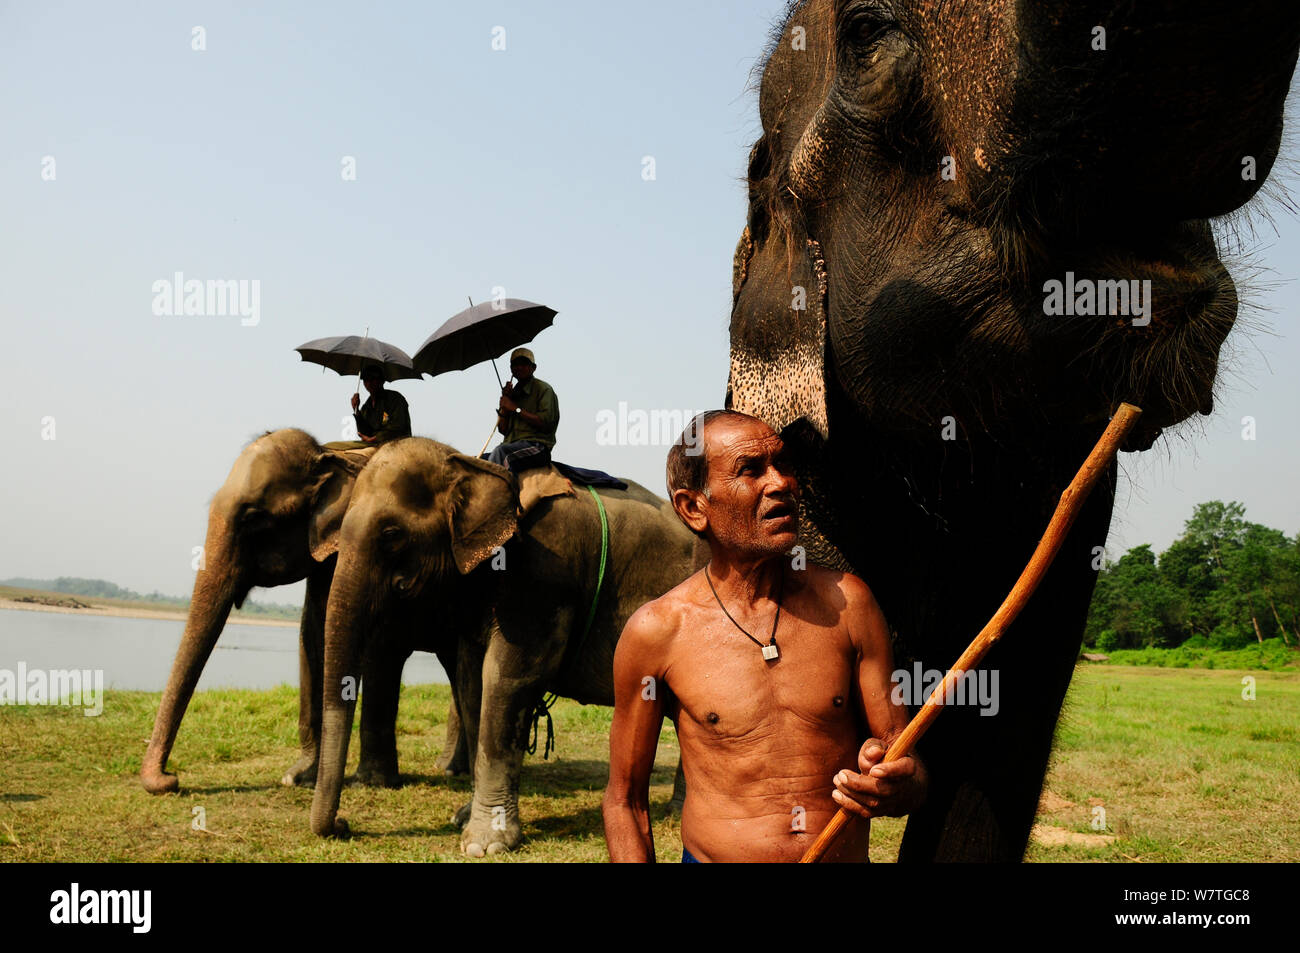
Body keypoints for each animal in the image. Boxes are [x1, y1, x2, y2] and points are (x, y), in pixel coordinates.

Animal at [141, 429, 467, 795]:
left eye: (254, 518)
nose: (170, 779)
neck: (329, 456)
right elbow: (313, 632)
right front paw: (298, 778)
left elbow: (374, 642)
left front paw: (368, 783)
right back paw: (451, 768)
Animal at [306, 434, 702, 852]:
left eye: (392, 534)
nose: (343, 825)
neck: (473, 465)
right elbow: (471, 681)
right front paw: (463, 819)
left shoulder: (542, 578)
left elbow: (507, 679)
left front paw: (484, 844)